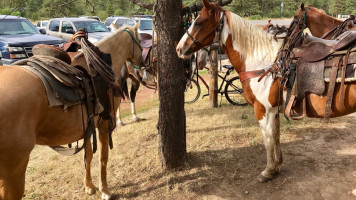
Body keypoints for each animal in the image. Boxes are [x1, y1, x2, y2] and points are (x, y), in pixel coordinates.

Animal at [0, 23, 144, 200]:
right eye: (140, 41)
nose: (142, 63)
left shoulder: (88, 126)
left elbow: (88, 155)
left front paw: (89, 186)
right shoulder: (104, 123)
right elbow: (103, 157)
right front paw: (104, 190)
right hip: (13, 172)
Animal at [177, 0, 356, 183]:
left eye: (199, 22)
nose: (179, 48)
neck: (264, 63)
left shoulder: (263, 109)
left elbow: (268, 139)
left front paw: (268, 171)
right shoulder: (274, 109)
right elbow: (276, 135)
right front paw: (278, 165)